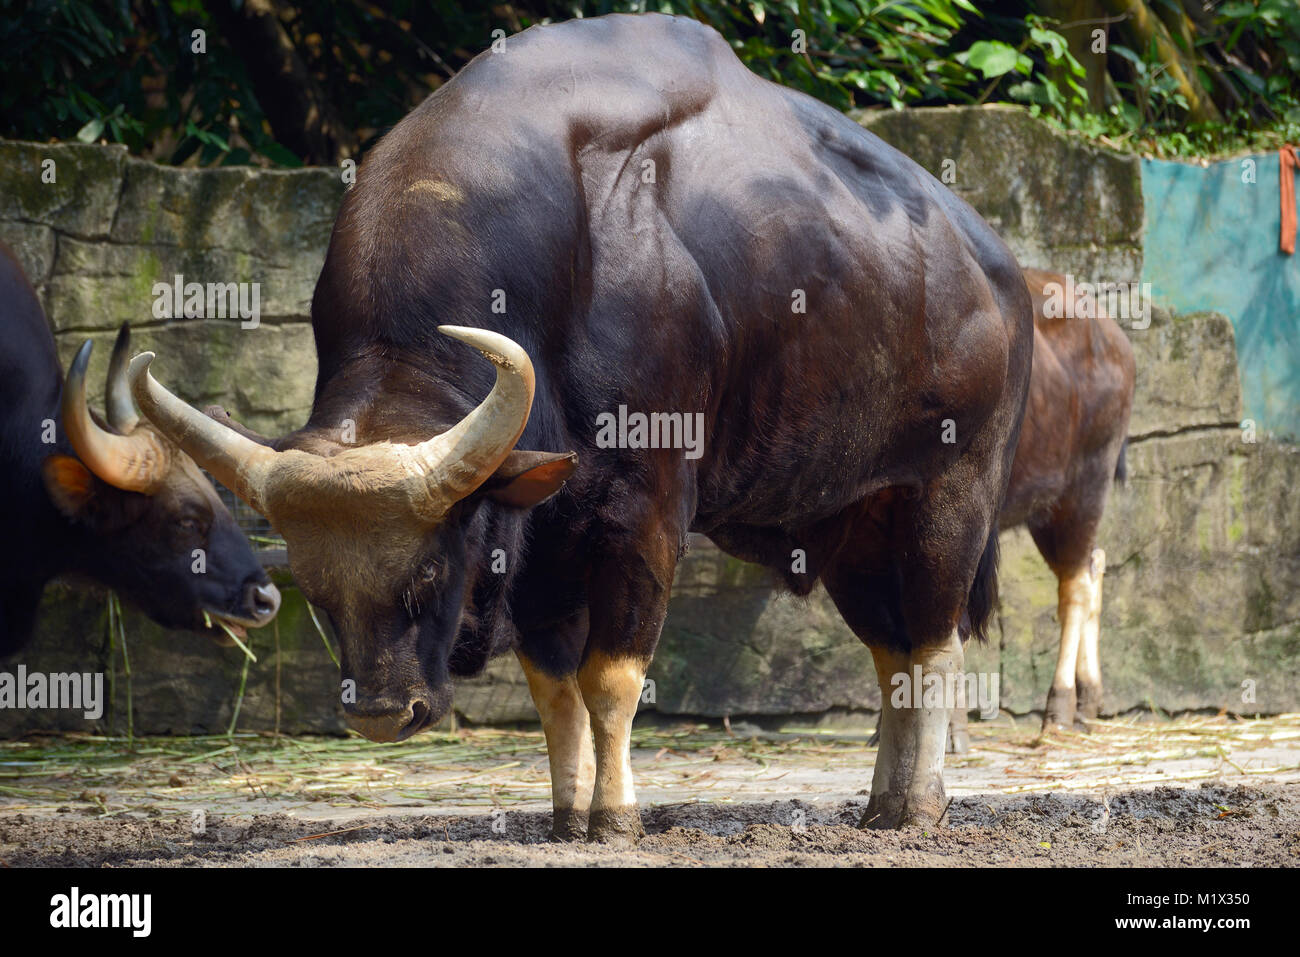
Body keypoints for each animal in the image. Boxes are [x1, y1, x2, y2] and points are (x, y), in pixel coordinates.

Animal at [126, 11, 1029, 842]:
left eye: (429, 572)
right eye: (315, 592)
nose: (382, 712)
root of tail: (993, 268)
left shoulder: (646, 518)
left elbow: (611, 681)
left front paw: (617, 816)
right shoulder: (542, 539)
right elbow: (554, 692)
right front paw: (567, 815)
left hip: (949, 494)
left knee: (935, 644)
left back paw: (919, 805)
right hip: (852, 524)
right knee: (891, 653)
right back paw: (881, 806)